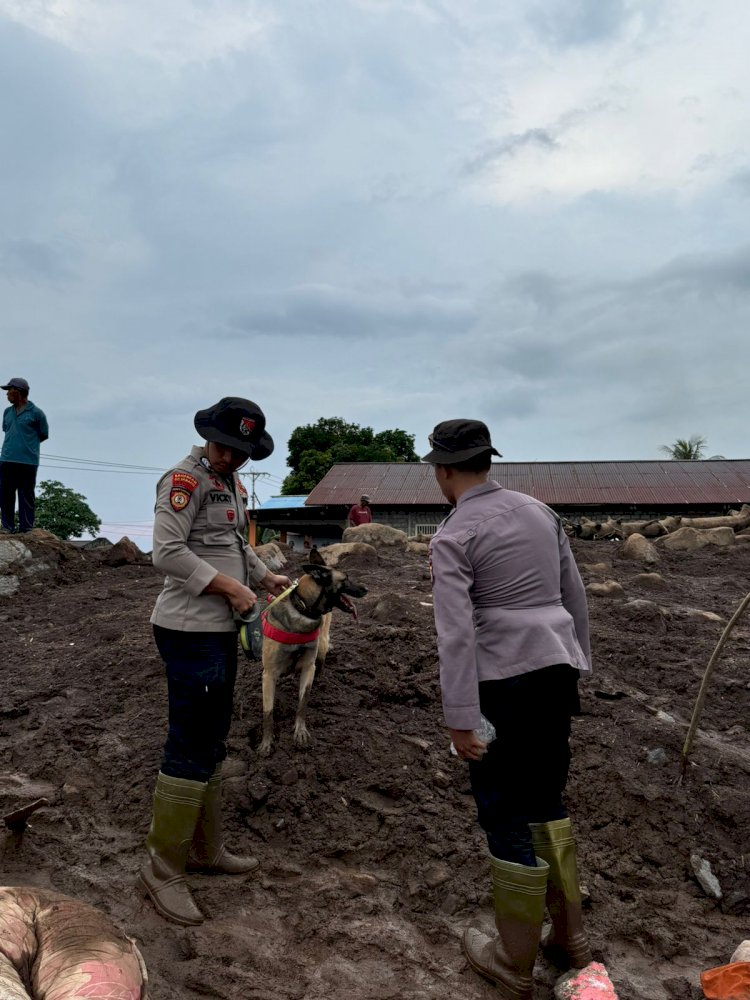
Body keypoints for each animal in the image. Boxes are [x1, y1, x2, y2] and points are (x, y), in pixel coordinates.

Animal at [258, 552, 368, 752]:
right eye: (345, 579)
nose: (366, 589)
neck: (303, 609)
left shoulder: (309, 666)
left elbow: (303, 702)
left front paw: (300, 731)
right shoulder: (269, 674)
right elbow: (268, 712)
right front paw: (267, 742)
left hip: (322, 645)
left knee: (321, 663)